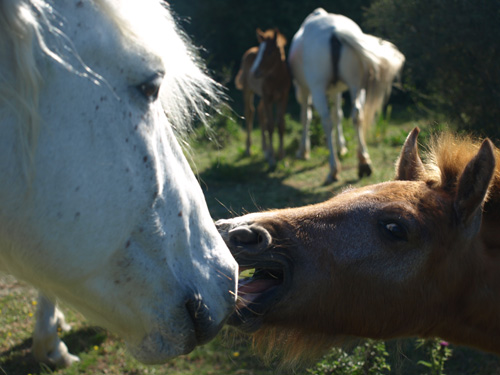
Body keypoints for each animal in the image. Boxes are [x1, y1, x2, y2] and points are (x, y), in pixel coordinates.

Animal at [235, 27, 292, 166]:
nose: (254, 72)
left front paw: (281, 155)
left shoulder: (283, 97)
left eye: (270, 52)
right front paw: (272, 158)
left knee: (260, 112)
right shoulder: (267, 98)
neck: (277, 78)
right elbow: (270, 125)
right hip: (248, 90)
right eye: (260, 51)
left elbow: (281, 124)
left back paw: (264, 148)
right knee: (250, 112)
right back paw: (249, 149)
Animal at [290, 9, 406, 184]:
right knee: (356, 115)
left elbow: (306, 117)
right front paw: (342, 146)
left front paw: (303, 150)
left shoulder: (304, 90)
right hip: (356, 86)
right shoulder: (336, 90)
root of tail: (335, 32)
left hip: (317, 89)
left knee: (326, 121)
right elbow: (338, 115)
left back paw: (333, 169)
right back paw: (364, 162)